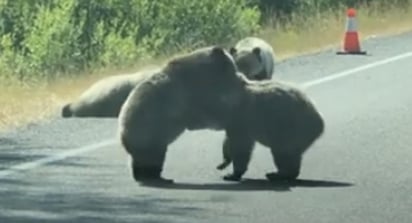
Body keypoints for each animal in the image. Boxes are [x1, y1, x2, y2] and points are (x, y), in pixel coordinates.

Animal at [116, 45, 245, 183]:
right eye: (233, 66)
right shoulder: (193, 92)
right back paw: (157, 177)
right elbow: (210, 111)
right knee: (154, 156)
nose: (237, 75)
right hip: (149, 133)